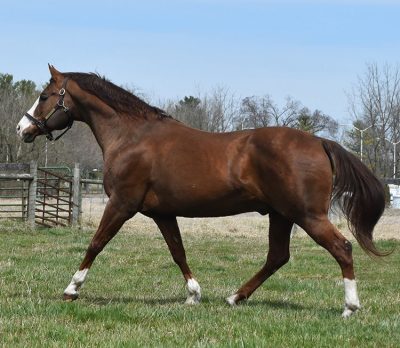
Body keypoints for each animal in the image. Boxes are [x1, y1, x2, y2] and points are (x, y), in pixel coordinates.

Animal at [17, 66, 386, 318]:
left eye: (45, 96)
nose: (23, 129)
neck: (132, 136)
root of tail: (320, 142)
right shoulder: (162, 213)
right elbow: (178, 251)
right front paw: (194, 294)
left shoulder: (122, 204)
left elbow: (96, 243)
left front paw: (71, 289)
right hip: (281, 215)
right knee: (277, 257)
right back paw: (235, 297)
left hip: (307, 215)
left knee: (342, 248)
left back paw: (350, 307)